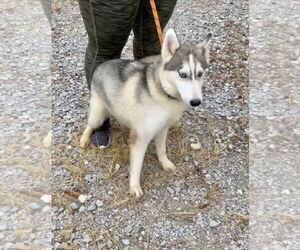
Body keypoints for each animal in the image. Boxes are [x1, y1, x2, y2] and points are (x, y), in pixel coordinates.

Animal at [79, 29, 211, 197]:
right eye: (182, 74)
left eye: (200, 74)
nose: (196, 102)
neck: (162, 92)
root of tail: (102, 65)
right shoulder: (140, 138)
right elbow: (137, 166)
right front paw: (134, 186)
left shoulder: (163, 128)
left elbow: (161, 149)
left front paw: (165, 163)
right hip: (98, 114)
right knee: (90, 124)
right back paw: (84, 139)